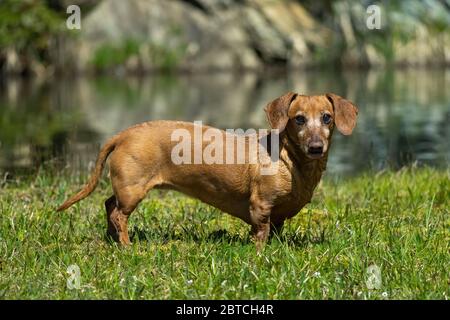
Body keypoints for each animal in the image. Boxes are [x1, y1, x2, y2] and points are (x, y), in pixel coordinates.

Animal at [57, 92, 358, 248]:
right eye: (299, 119)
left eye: (327, 118)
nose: (316, 147)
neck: (290, 162)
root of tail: (123, 134)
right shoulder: (260, 206)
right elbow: (260, 233)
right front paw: (260, 254)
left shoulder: (279, 215)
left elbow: (276, 230)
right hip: (133, 191)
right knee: (119, 214)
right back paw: (127, 246)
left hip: (125, 188)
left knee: (109, 205)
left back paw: (112, 239)